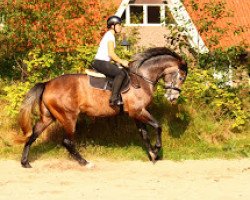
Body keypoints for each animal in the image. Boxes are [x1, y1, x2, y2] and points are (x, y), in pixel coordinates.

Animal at [18, 47, 188, 168]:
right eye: (181, 77)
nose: (173, 98)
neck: (143, 78)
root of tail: (47, 84)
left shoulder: (136, 114)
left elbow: (144, 135)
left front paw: (152, 155)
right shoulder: (139, 111)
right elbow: (158, 126)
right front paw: (157, 150)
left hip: (49, 117)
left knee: (32, 135)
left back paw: (25, 162)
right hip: (68, 117)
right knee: (67, 141)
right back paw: (85, 163)